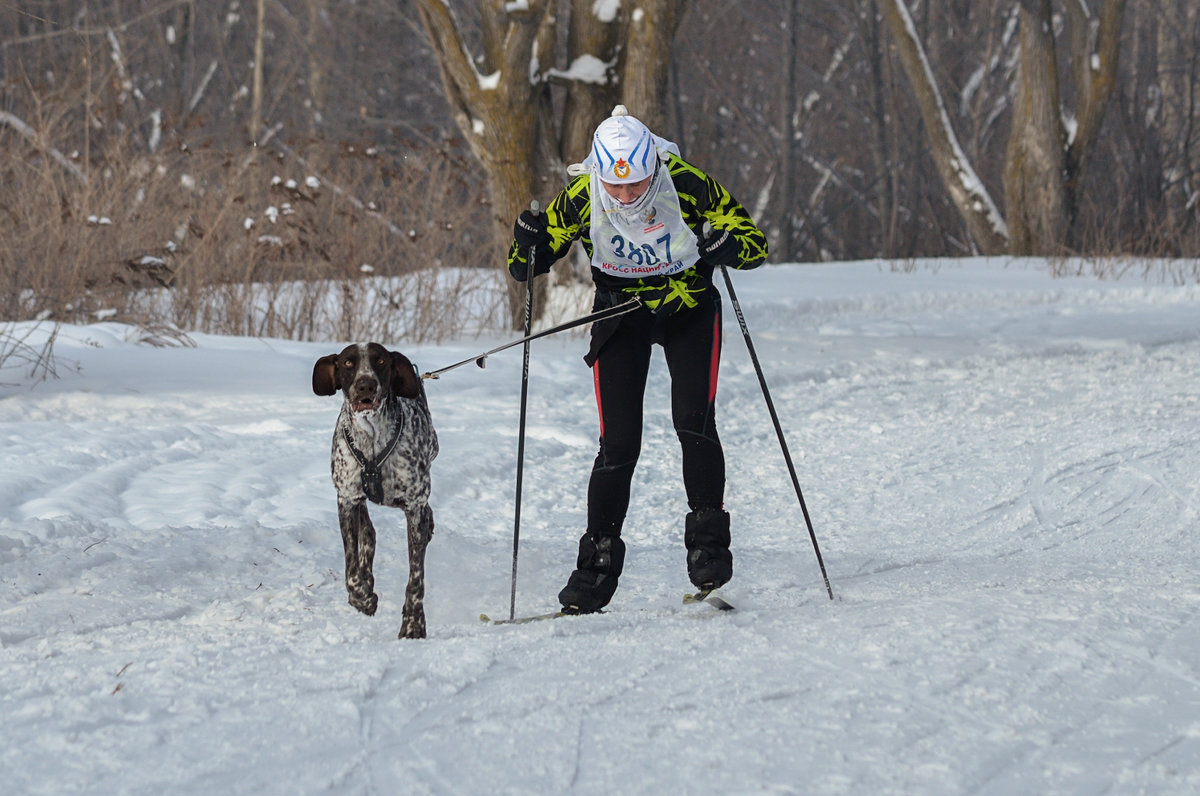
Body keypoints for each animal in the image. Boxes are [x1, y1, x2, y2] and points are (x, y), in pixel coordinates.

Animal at [312, 343, 439, 643]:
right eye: (348, 363)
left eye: (380, 361)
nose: (365, 385)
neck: (371, 437)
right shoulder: (347, 499)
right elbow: (351, 568)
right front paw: (363, 597)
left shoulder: (414, 506)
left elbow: (416, 577)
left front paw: (414, 624)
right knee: (368, 532)